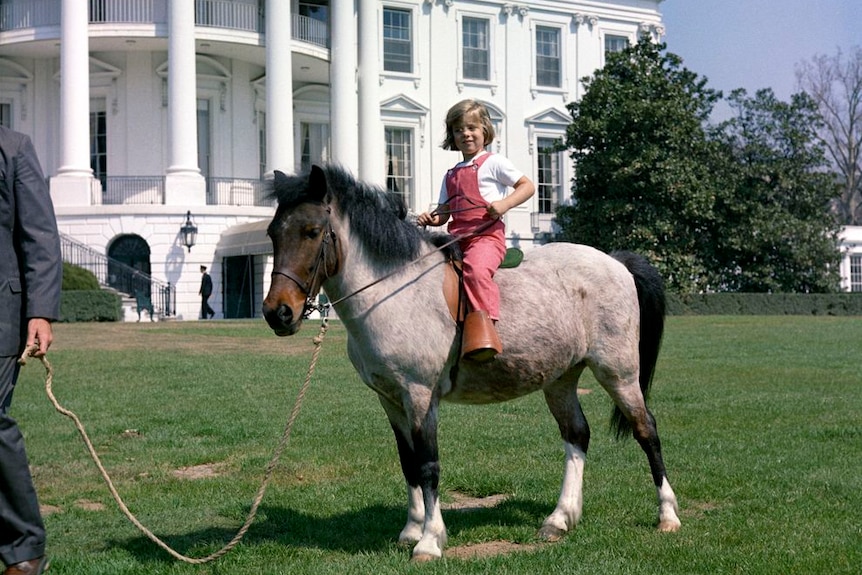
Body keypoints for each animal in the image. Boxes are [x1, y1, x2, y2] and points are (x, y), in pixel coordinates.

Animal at [264, 164, 680, 560]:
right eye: (271, 233)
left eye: (312, 231)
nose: (277, 313)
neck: (393, 290)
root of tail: (615, 261)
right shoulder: (390, 399)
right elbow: (407, 462)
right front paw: (411, 529)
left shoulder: (420, 396)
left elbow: (428, 465)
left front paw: (429, 541)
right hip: (561, 379)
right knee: (577, 435)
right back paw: (559, 519)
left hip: (618, 372)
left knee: (647, 430)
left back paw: (667, 514)